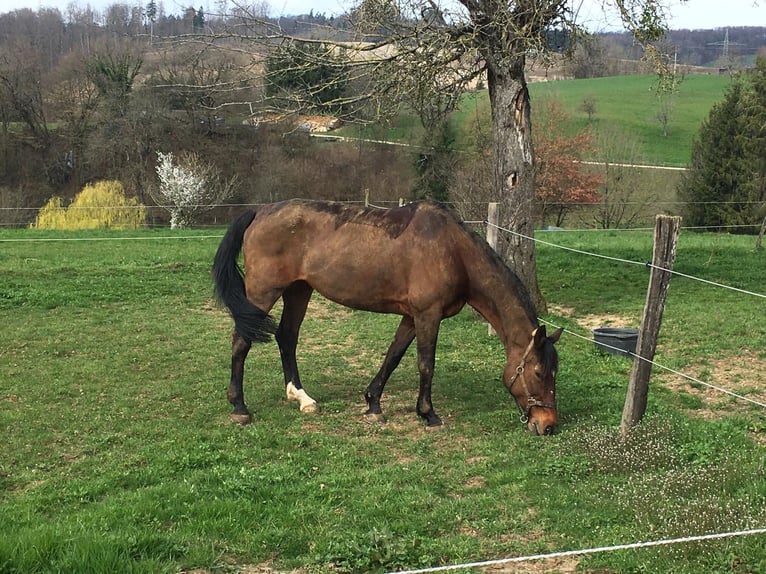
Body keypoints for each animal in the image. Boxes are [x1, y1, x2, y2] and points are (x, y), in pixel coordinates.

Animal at [212, 200, 564, 434]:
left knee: (287, 336)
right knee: (241, 340)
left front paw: (373, 405)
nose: (547, 425)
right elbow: (425, 364)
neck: (453, 251)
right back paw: (240, 407)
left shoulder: (411, 316)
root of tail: (259, 211)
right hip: (263, 292)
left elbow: (393, 356)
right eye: (538, 372)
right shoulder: (427, 315)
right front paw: (428, 414)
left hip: (299, 290)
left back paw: (302, 398)